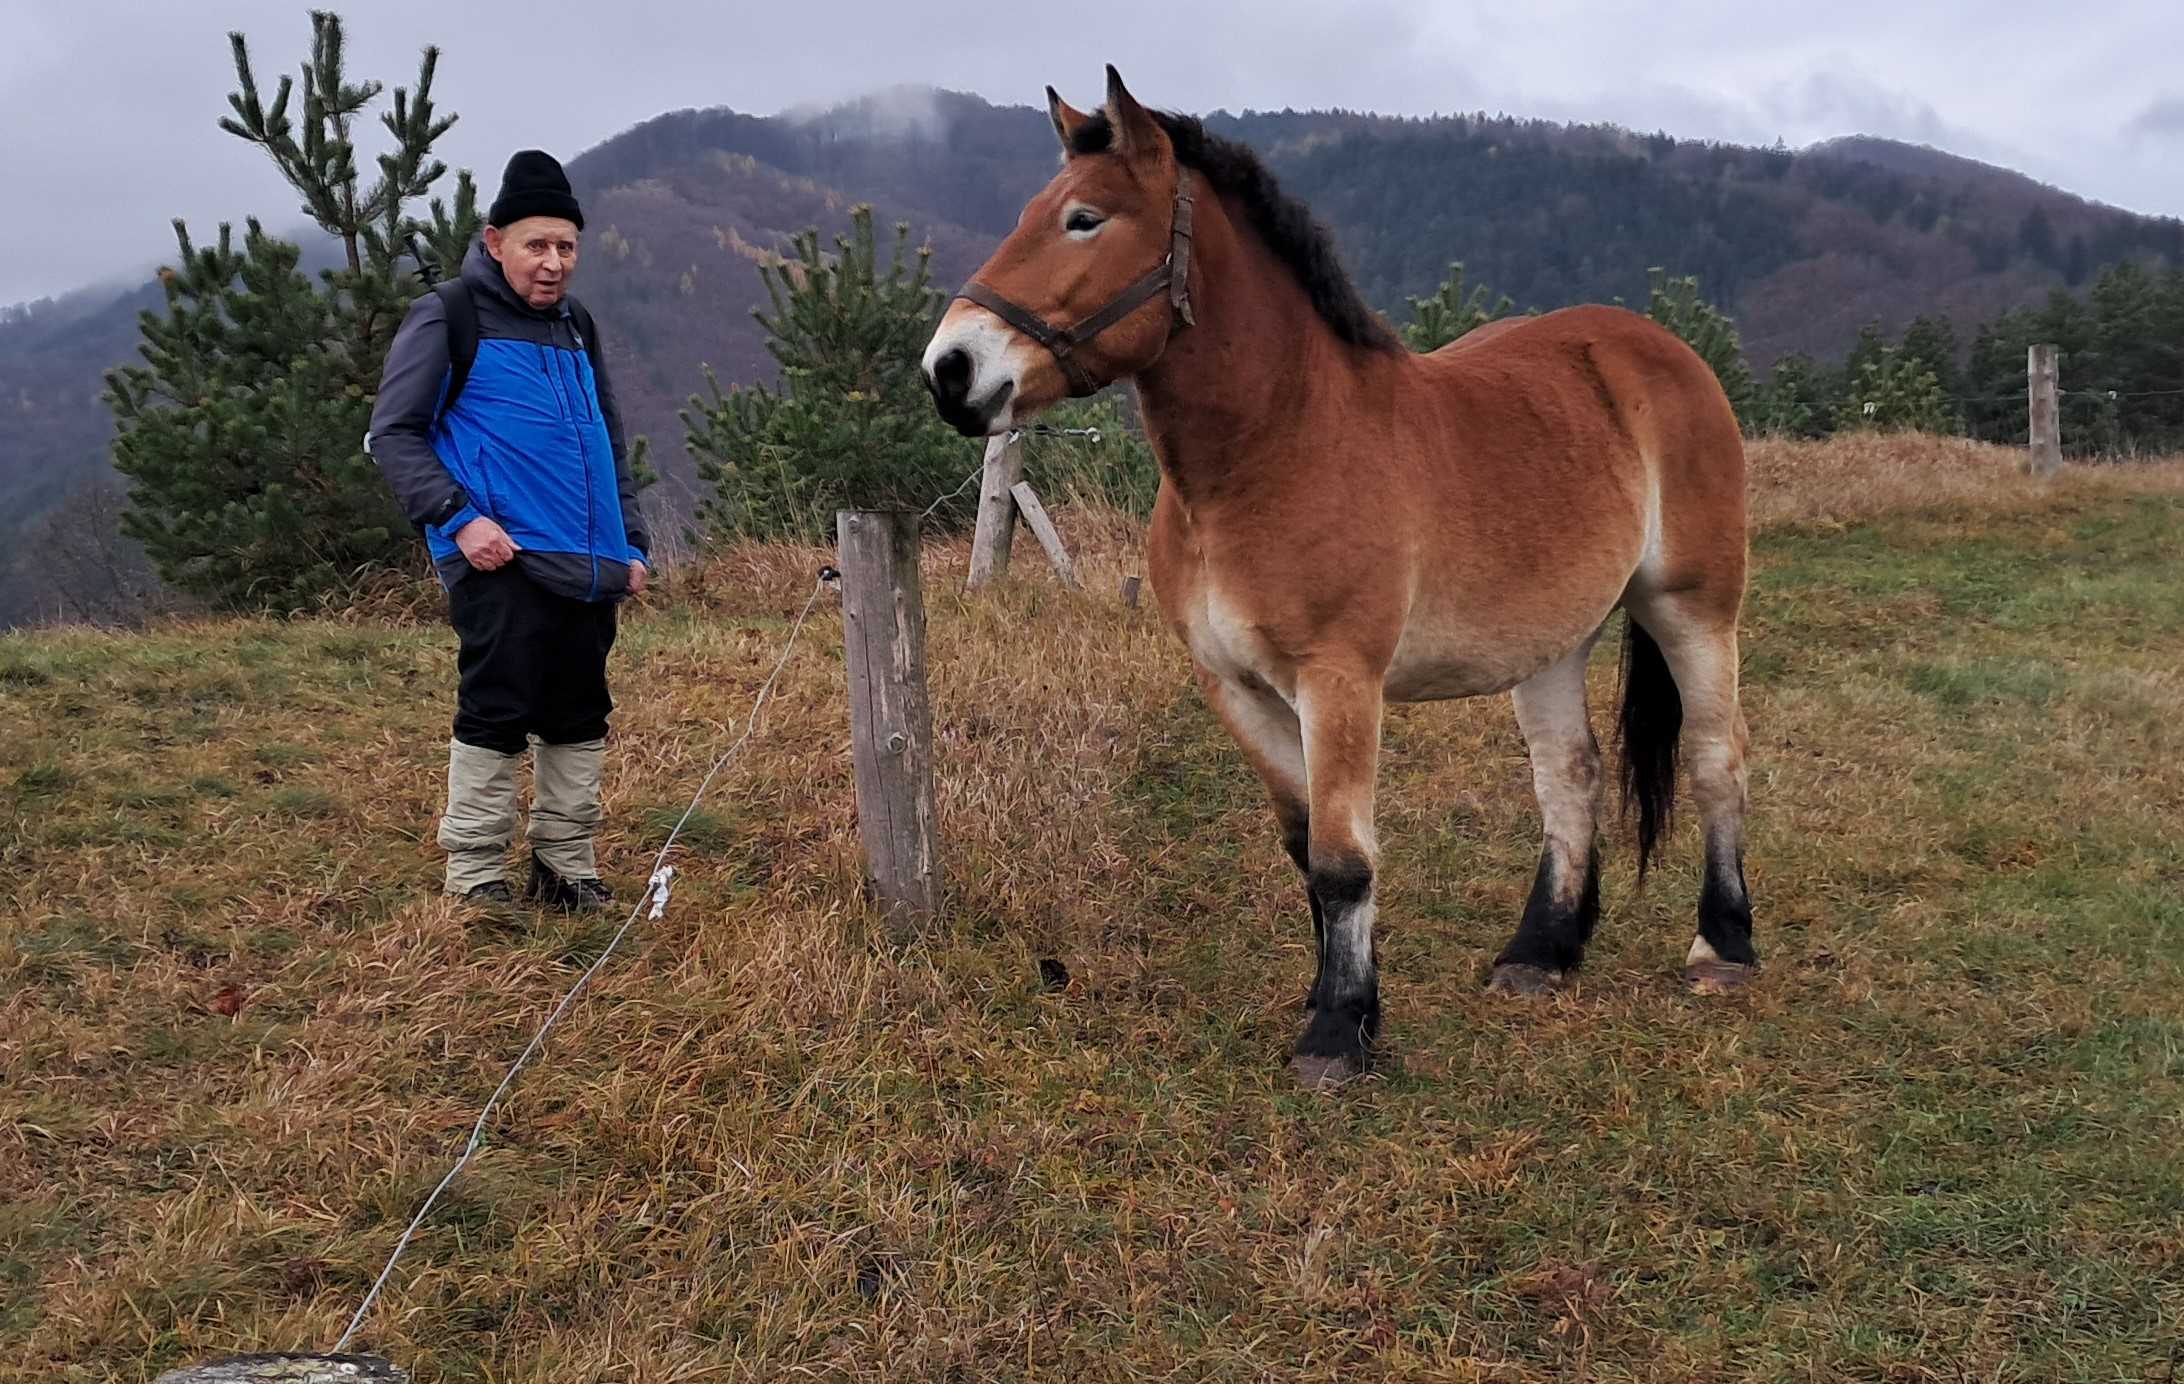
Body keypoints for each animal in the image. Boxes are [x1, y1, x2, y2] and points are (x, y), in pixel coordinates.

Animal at [921, 69, 1755, 1082]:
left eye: (1084, 219)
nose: (950, 369)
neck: (1275, 451)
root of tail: (1657, 351)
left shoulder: (1340, 682)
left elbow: (1343, 859)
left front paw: (1336, 1033)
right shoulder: (1234, 688)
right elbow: (1302, 848)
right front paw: (1338, 1002)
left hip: (1694, 609)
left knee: (1717, 756)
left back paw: (1723, 947)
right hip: (1553, 641)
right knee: (1570, 775)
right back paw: (1541, 953)